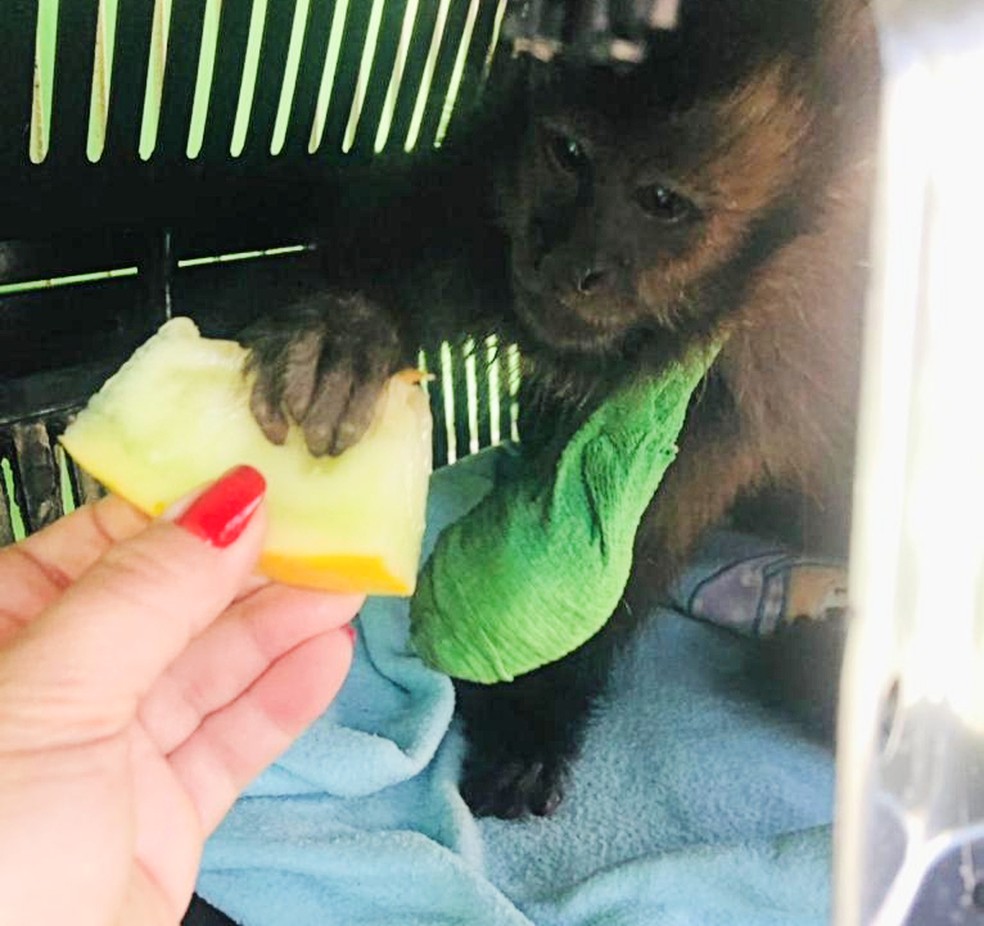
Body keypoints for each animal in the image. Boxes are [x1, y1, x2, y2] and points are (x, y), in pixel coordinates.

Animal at [240, 0, 881, 820]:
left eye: (661, 201)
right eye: (569, 153)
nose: (568, 265)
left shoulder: (786, 331)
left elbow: (629, 527)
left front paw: (535, 710)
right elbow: (456, 220)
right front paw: (347, 330)